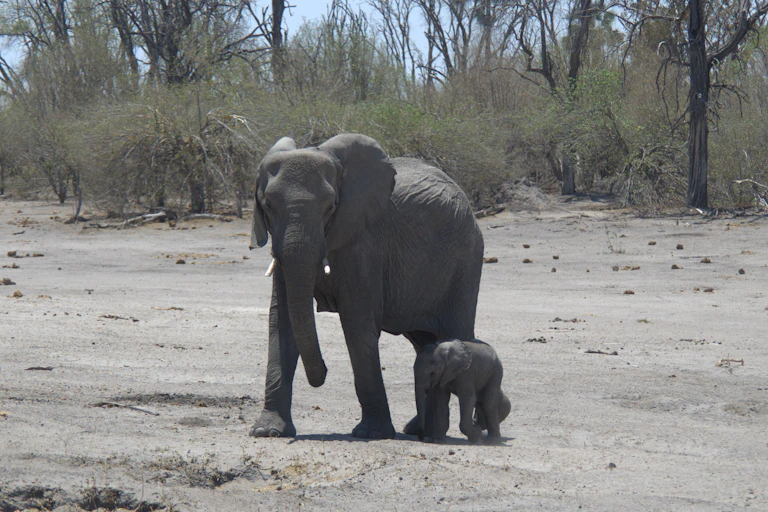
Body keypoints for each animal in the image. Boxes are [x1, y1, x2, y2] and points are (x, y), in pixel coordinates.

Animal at [248, 133, 484, 439]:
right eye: (267, 206)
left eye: (331, 207)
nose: (322, 374)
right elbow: (282, 321)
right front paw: (268, 431)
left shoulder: (364, 243)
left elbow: (357, 323)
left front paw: (372, 433)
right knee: (424, 344)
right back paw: (418, 429)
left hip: (465, 258)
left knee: (456, 333)